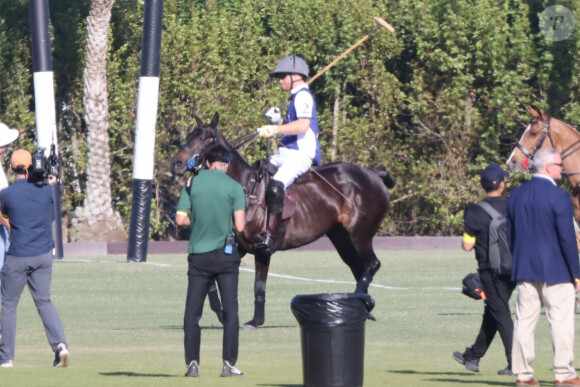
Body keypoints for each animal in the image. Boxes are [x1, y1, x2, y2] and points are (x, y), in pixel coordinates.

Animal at [169, 113, 394, 332]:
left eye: (203, 138)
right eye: (189, 135)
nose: (175, 164)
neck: (245, 188)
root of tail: (374, 175)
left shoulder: (262, 250)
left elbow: (259, 286)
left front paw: (255, 321)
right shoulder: (236, 247)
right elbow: (210, 280)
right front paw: (222, 314)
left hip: (360, 233)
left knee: (372, 264)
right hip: (340, 237)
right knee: (358, 268)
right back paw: (363, 307)